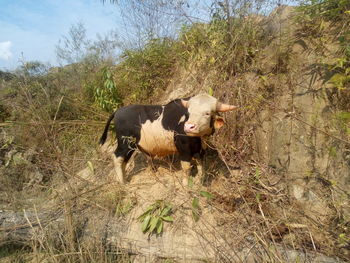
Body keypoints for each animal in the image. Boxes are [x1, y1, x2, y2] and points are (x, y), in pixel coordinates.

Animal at [98, 94, 238, 185]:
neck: (199, 139)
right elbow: (186, 167)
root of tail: (119, 111)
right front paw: (186, 184)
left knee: (127, 160)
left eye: (207, 113)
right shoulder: (184, 150)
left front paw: (200, 179)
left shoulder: (200, 150)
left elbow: (201, 164)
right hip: (125, 144)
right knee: (117, 158)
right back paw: (122, 182)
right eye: (188, 113)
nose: (189, 127)